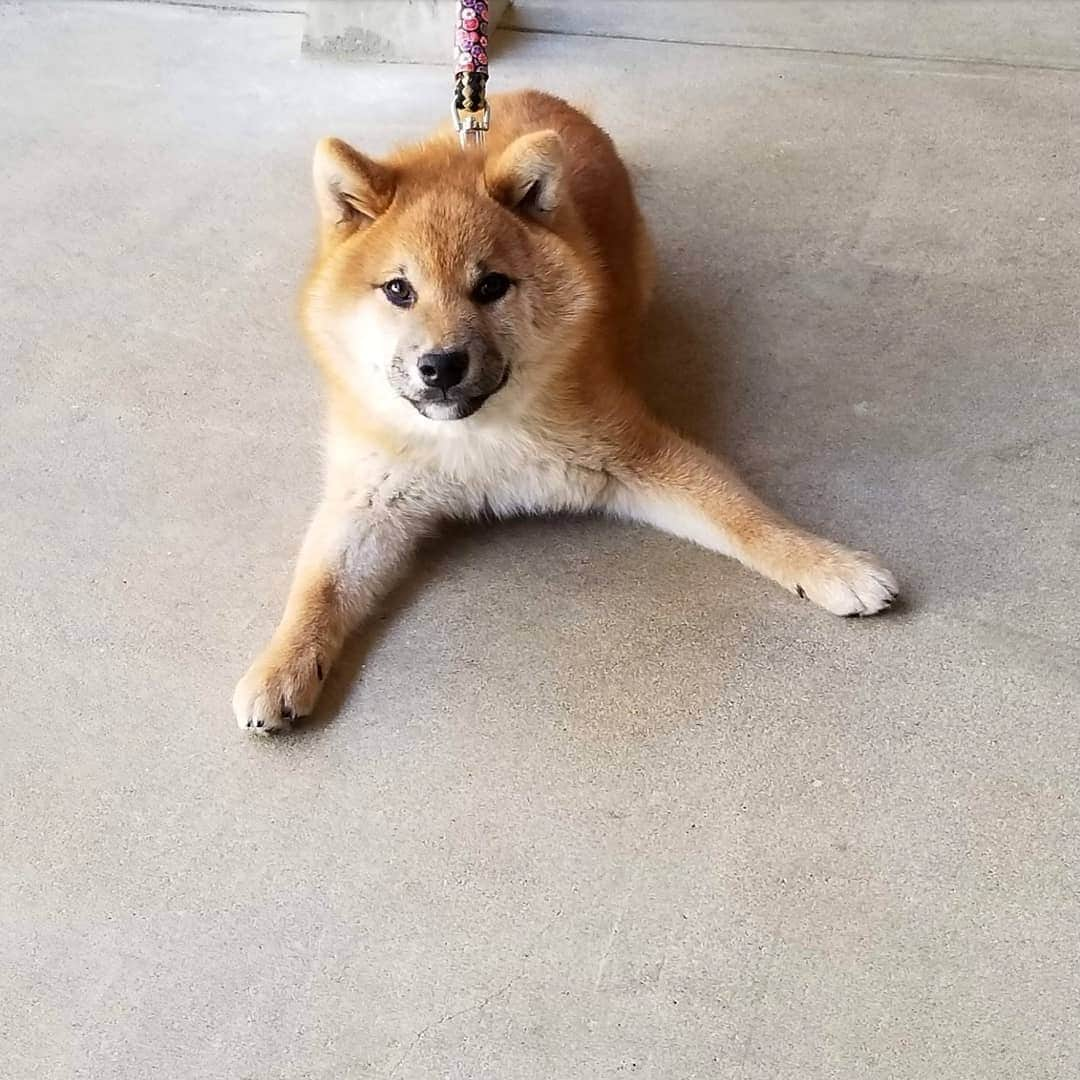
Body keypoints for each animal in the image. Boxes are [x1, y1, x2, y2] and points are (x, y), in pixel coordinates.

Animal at [234, 92, 894, 734]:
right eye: (399, 290)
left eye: (491, 286)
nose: (441, 366)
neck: (474, 438)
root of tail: (546, 98)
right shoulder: (370, 499)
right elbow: (319, 587)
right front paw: (282, 663)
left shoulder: (633, 455)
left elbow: (745, 519)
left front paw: (828, 564)